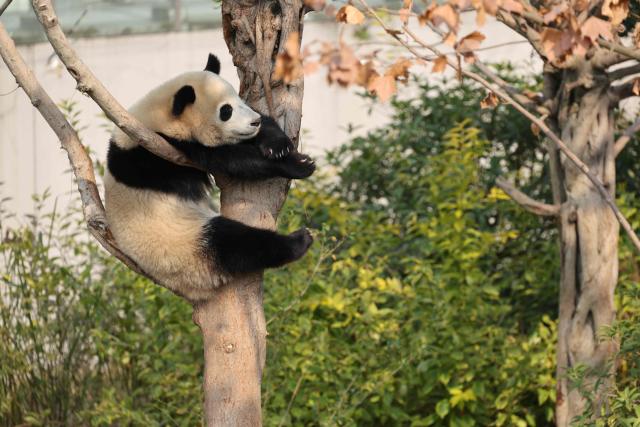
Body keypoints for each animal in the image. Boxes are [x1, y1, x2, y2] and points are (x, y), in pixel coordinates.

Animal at [104, 53, 315, 302]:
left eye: (240, 100)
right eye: (226, 111)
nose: (254, 122)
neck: (156, 115)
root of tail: (191, 291)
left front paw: (277, 144)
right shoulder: (159, 151)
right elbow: (233, 160)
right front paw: (299, 165)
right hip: (185, 246)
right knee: (235, 243)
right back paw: (299, 241)